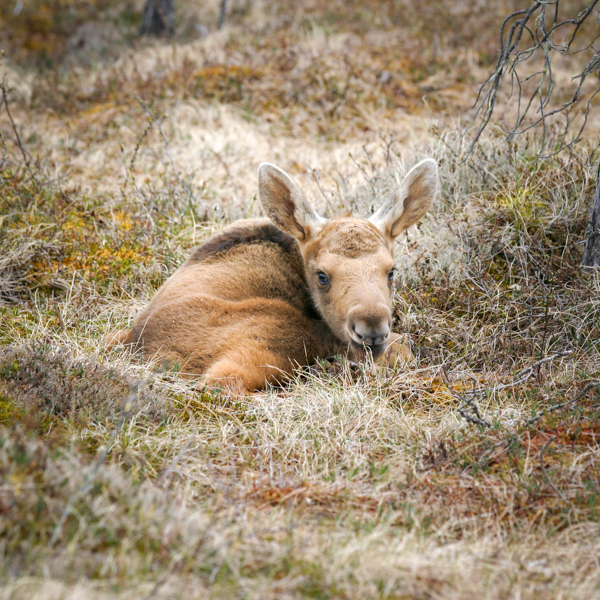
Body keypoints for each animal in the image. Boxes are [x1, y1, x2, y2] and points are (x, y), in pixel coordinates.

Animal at [106, 159, 436, 394]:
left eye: (391, 271)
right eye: (322, 276)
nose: (371, 330)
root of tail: (140, 345)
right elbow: (402, 347)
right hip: (277, 335)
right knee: (220, 385)